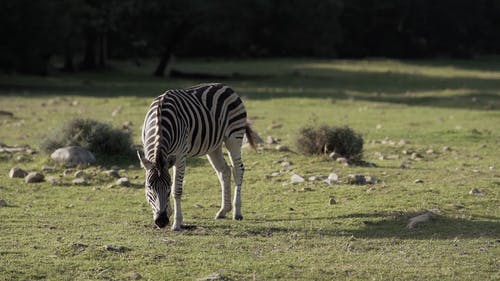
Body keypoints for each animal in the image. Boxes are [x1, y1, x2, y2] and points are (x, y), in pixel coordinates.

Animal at [137, 81, 256, 230]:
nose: (161, 221)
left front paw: (177, 222)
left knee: (238, 169)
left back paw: (237, 212)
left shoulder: (180, 156)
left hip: (234, 136)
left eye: (168, 187)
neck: (160, 120)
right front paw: (169, 213)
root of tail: (226, 86)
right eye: (149, 187)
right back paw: (223, 210)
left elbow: (177, 190)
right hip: (214, 146)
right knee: (224, 171)